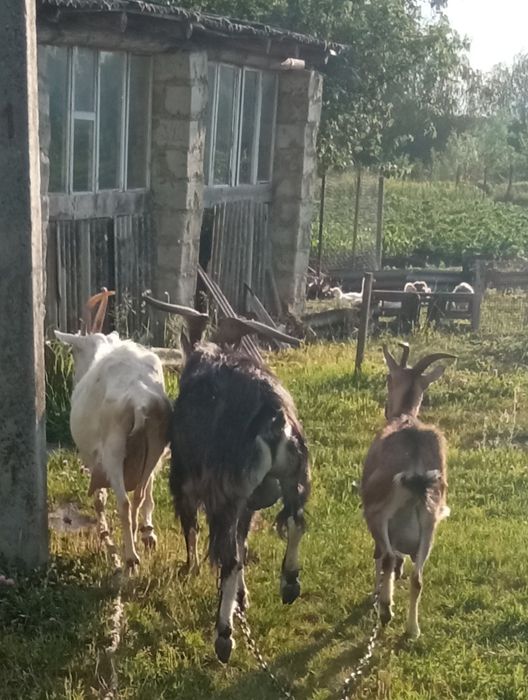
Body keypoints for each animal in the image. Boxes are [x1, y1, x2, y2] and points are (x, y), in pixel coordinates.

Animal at [55, 291, 171, 570]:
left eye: (73, 350)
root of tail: (140, 398)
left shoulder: (91, 455)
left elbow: (99, 498)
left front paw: (105, 535)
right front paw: (147, 532)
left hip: (114, 449)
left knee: (124, 502)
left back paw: (130, 557)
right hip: (155, 444)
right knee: (139, 494)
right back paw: (139, 540)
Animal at [143, 295, 310, 663]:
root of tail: (275, 417)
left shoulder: (187, 483)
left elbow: (191, 528)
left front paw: (189, 570)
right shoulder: (249, 502)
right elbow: (244, 543)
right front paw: (242, 599)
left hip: (225, 495)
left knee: (229, 558)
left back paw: (223, 636)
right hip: (292, 478)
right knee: (294, 522)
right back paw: (289, 583)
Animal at [361, 343, 455, 638]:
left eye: (389, 378)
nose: (385, 408)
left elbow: (382, 557)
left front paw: (377, 595)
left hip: (378, 514)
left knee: (388, 557)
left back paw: (385, 609)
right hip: (429, 523)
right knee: (417, 577)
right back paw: (413, 629)